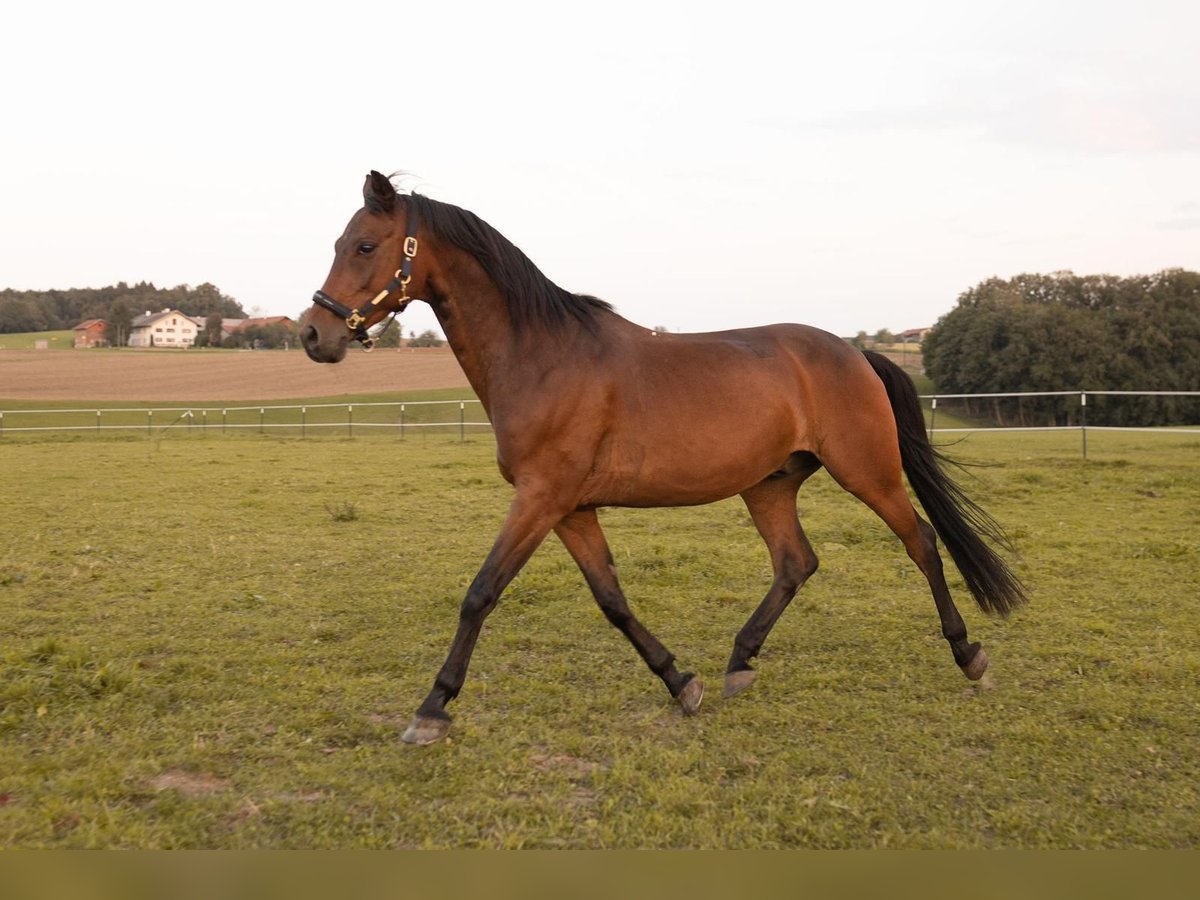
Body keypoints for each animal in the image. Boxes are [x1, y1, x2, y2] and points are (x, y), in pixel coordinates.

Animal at [300, 170, 1022, 748]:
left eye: (365, 246)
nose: (314, 333)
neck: (543, 356)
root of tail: (855, 351)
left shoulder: (540, 498)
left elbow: (480, 593)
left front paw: (432, 709)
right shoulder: (570, 508)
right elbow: (612, 600)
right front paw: (681, 681)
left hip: (866, 471)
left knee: (921, 542)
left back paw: (969, 654)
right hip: (768, 485)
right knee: (797, 562)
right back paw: (739, 662)